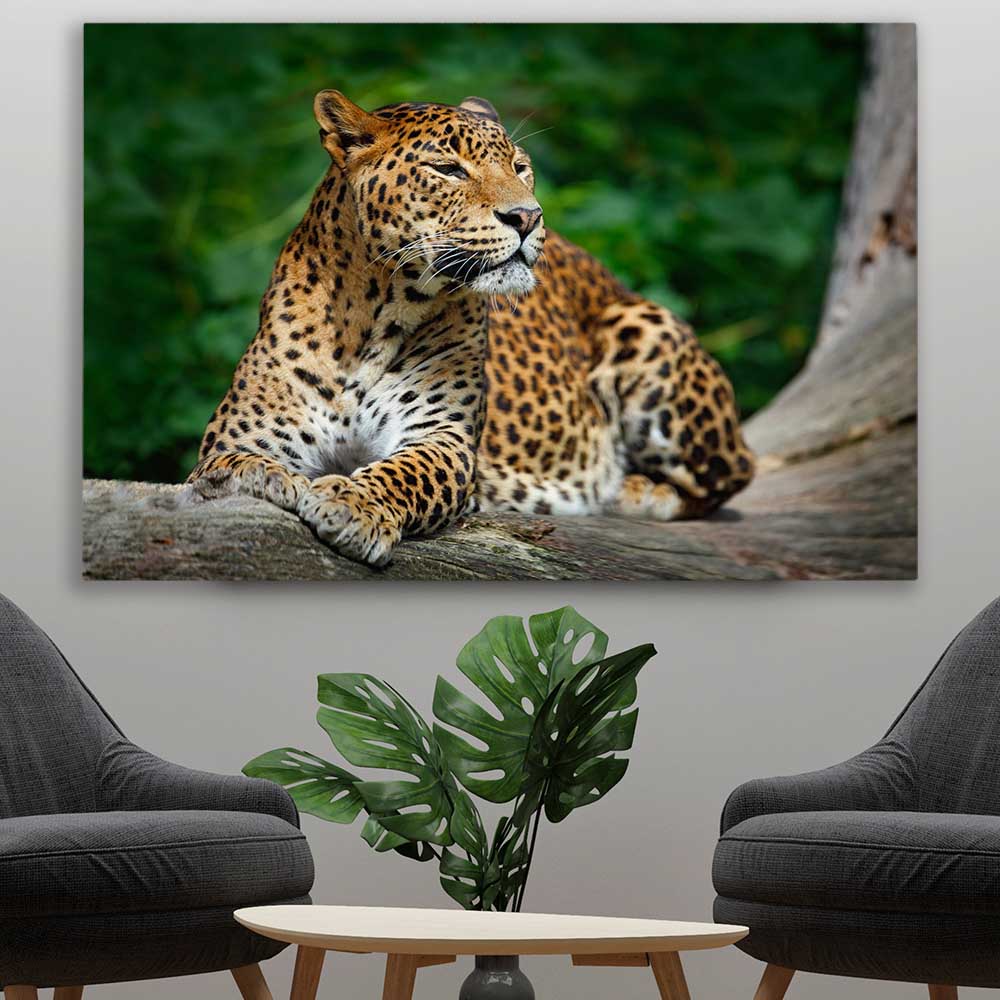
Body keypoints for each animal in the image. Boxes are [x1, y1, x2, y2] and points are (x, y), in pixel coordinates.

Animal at [188, 90, 755, 566]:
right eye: (447, 169)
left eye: (520, 167)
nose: (528, 216)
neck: (373, 317)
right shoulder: (240, 434)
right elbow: (231, 464)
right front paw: (261, 477)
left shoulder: (444, 438)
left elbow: (403, 473)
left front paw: (353, 504)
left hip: (645, 328)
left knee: (734, 471)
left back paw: (638, 490)